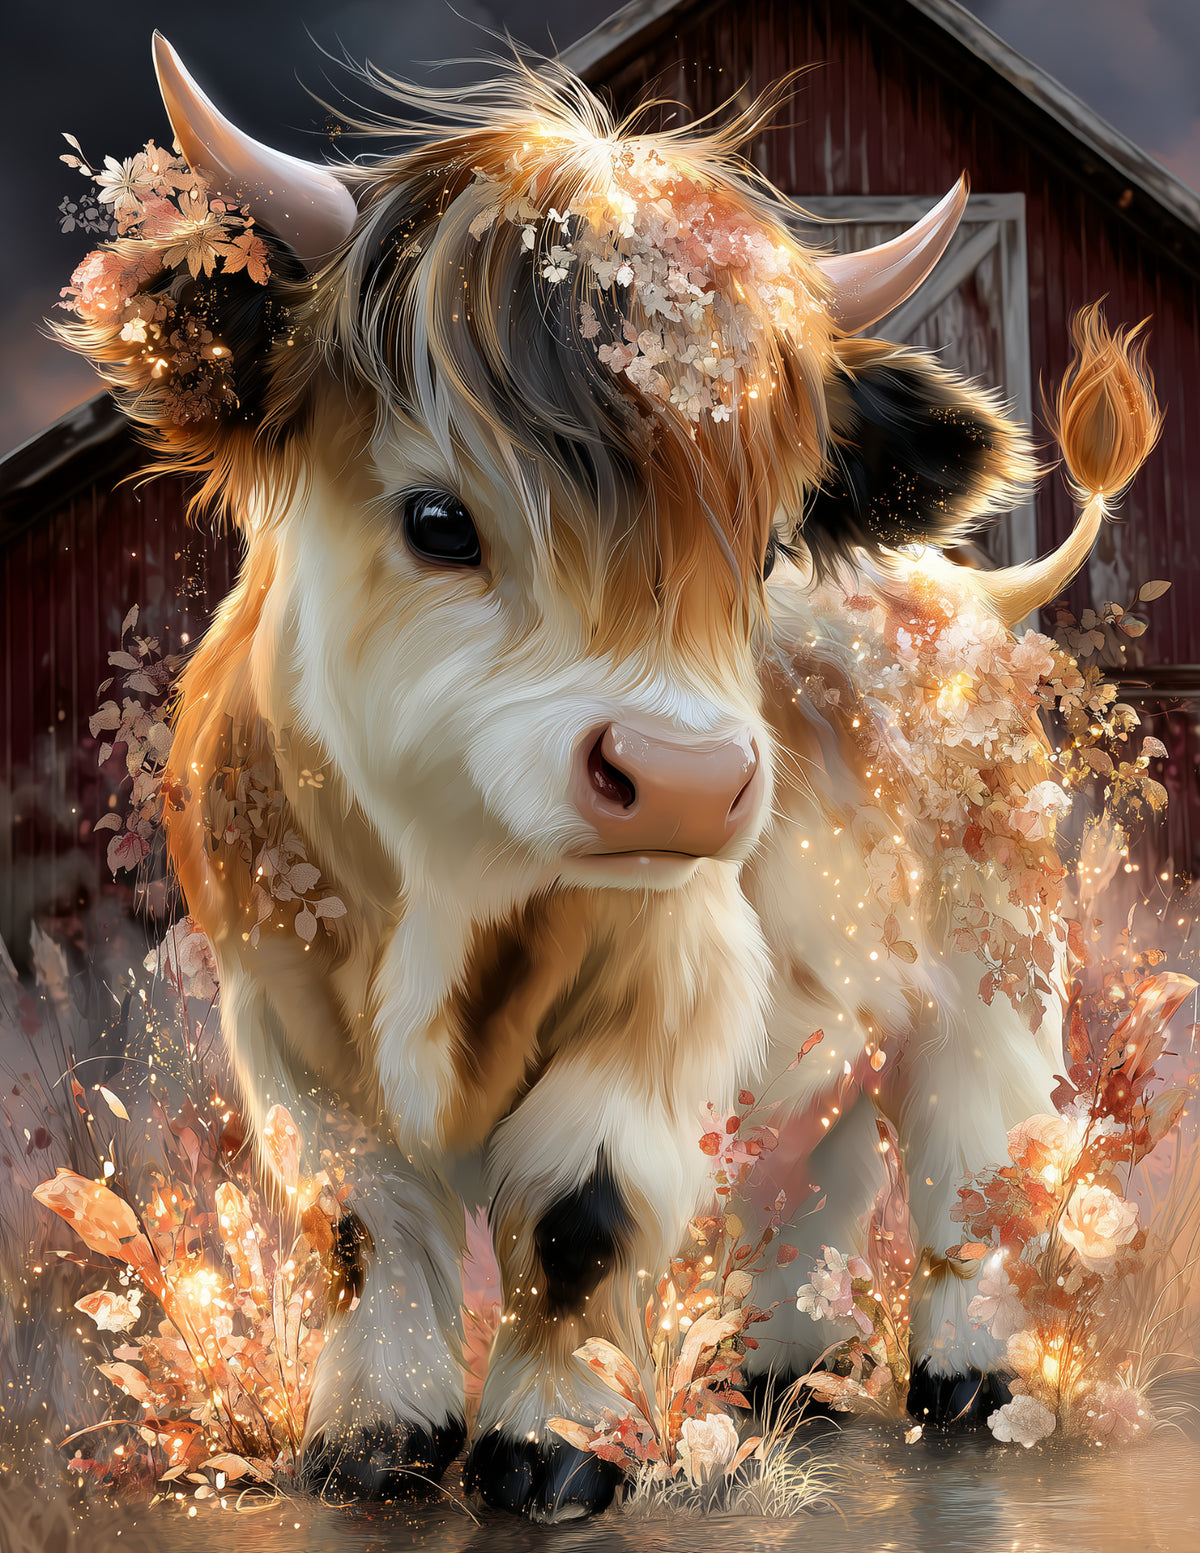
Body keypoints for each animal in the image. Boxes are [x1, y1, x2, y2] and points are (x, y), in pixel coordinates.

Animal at [56, 36, 1159, 1521]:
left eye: (767, 550)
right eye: (437, 518)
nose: (687, 783)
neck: (448, 883)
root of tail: (965, 587)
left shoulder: (668, 990)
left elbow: (580, 1215)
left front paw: (557, 1448)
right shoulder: (281, 1013)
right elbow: (359, 1222)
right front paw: (374, 1438)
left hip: (994, 981)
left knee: (967, 1172)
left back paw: (969, 1382)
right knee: (816, 1167)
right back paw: (785, 1369)